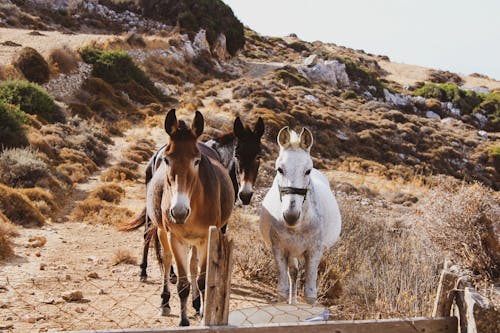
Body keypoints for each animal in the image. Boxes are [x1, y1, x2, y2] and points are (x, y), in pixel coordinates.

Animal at [146, 108, 236, 324]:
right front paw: (183, 320)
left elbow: (203, 281)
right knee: (167, 260)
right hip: (162, 232)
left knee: (193, 265)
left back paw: (197, 305)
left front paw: (204, 313)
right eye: (167, 159)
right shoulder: (175, 238)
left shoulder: (206, 239)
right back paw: (165, 302)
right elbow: (182, 284)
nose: (178, 212)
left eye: (197, 161)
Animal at [260, 126, 342, 304]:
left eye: (307, 171)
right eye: (280, 169)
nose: (291, 216)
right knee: (293, 273)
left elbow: (310, 294)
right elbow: (282, 291)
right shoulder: (280, 249)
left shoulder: (314, 251)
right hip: (292, 252)